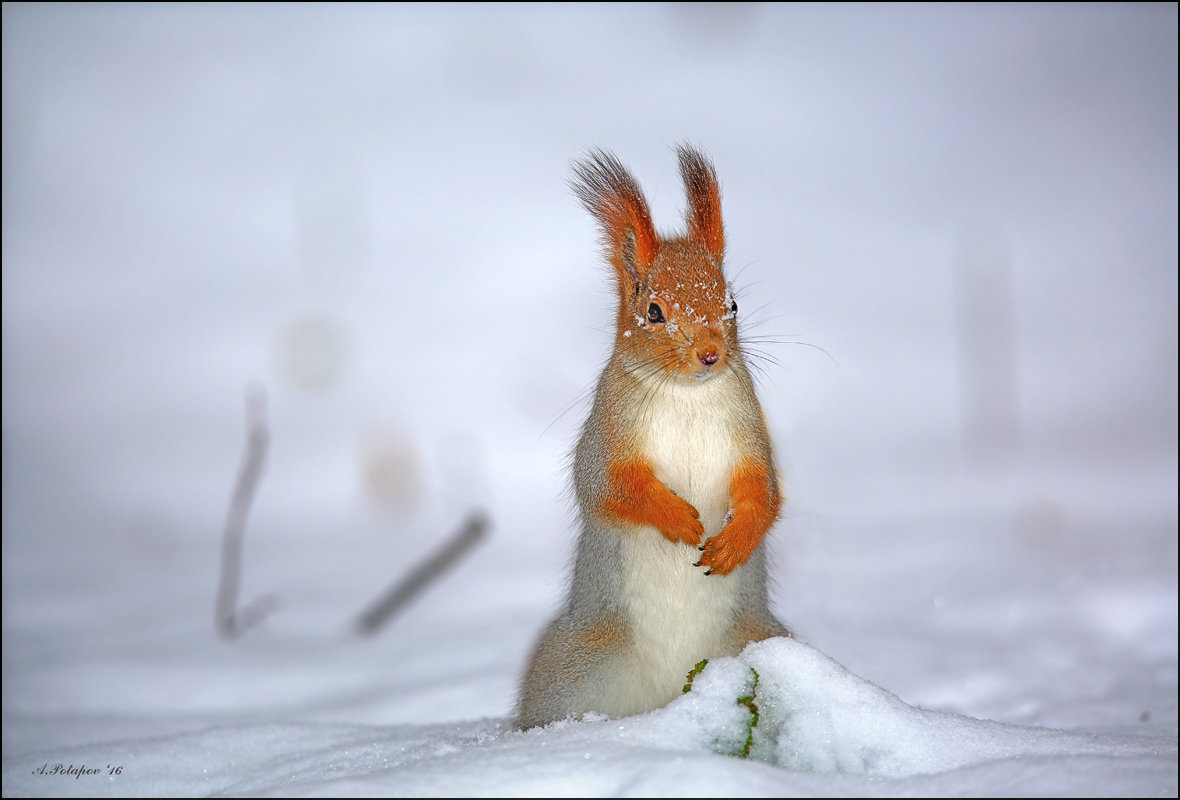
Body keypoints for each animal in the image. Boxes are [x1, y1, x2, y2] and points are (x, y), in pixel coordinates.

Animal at [516, 145, 792, 731]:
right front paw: (681, 520)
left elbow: (764, 492)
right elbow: (612, 489)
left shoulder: (749, 435)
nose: (710, 354)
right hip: (573, 665)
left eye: (732, 303)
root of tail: (670, 694)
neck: (686, 395)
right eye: (654, 312)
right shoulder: (607, 439)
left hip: (757, 639)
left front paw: (733, 541)